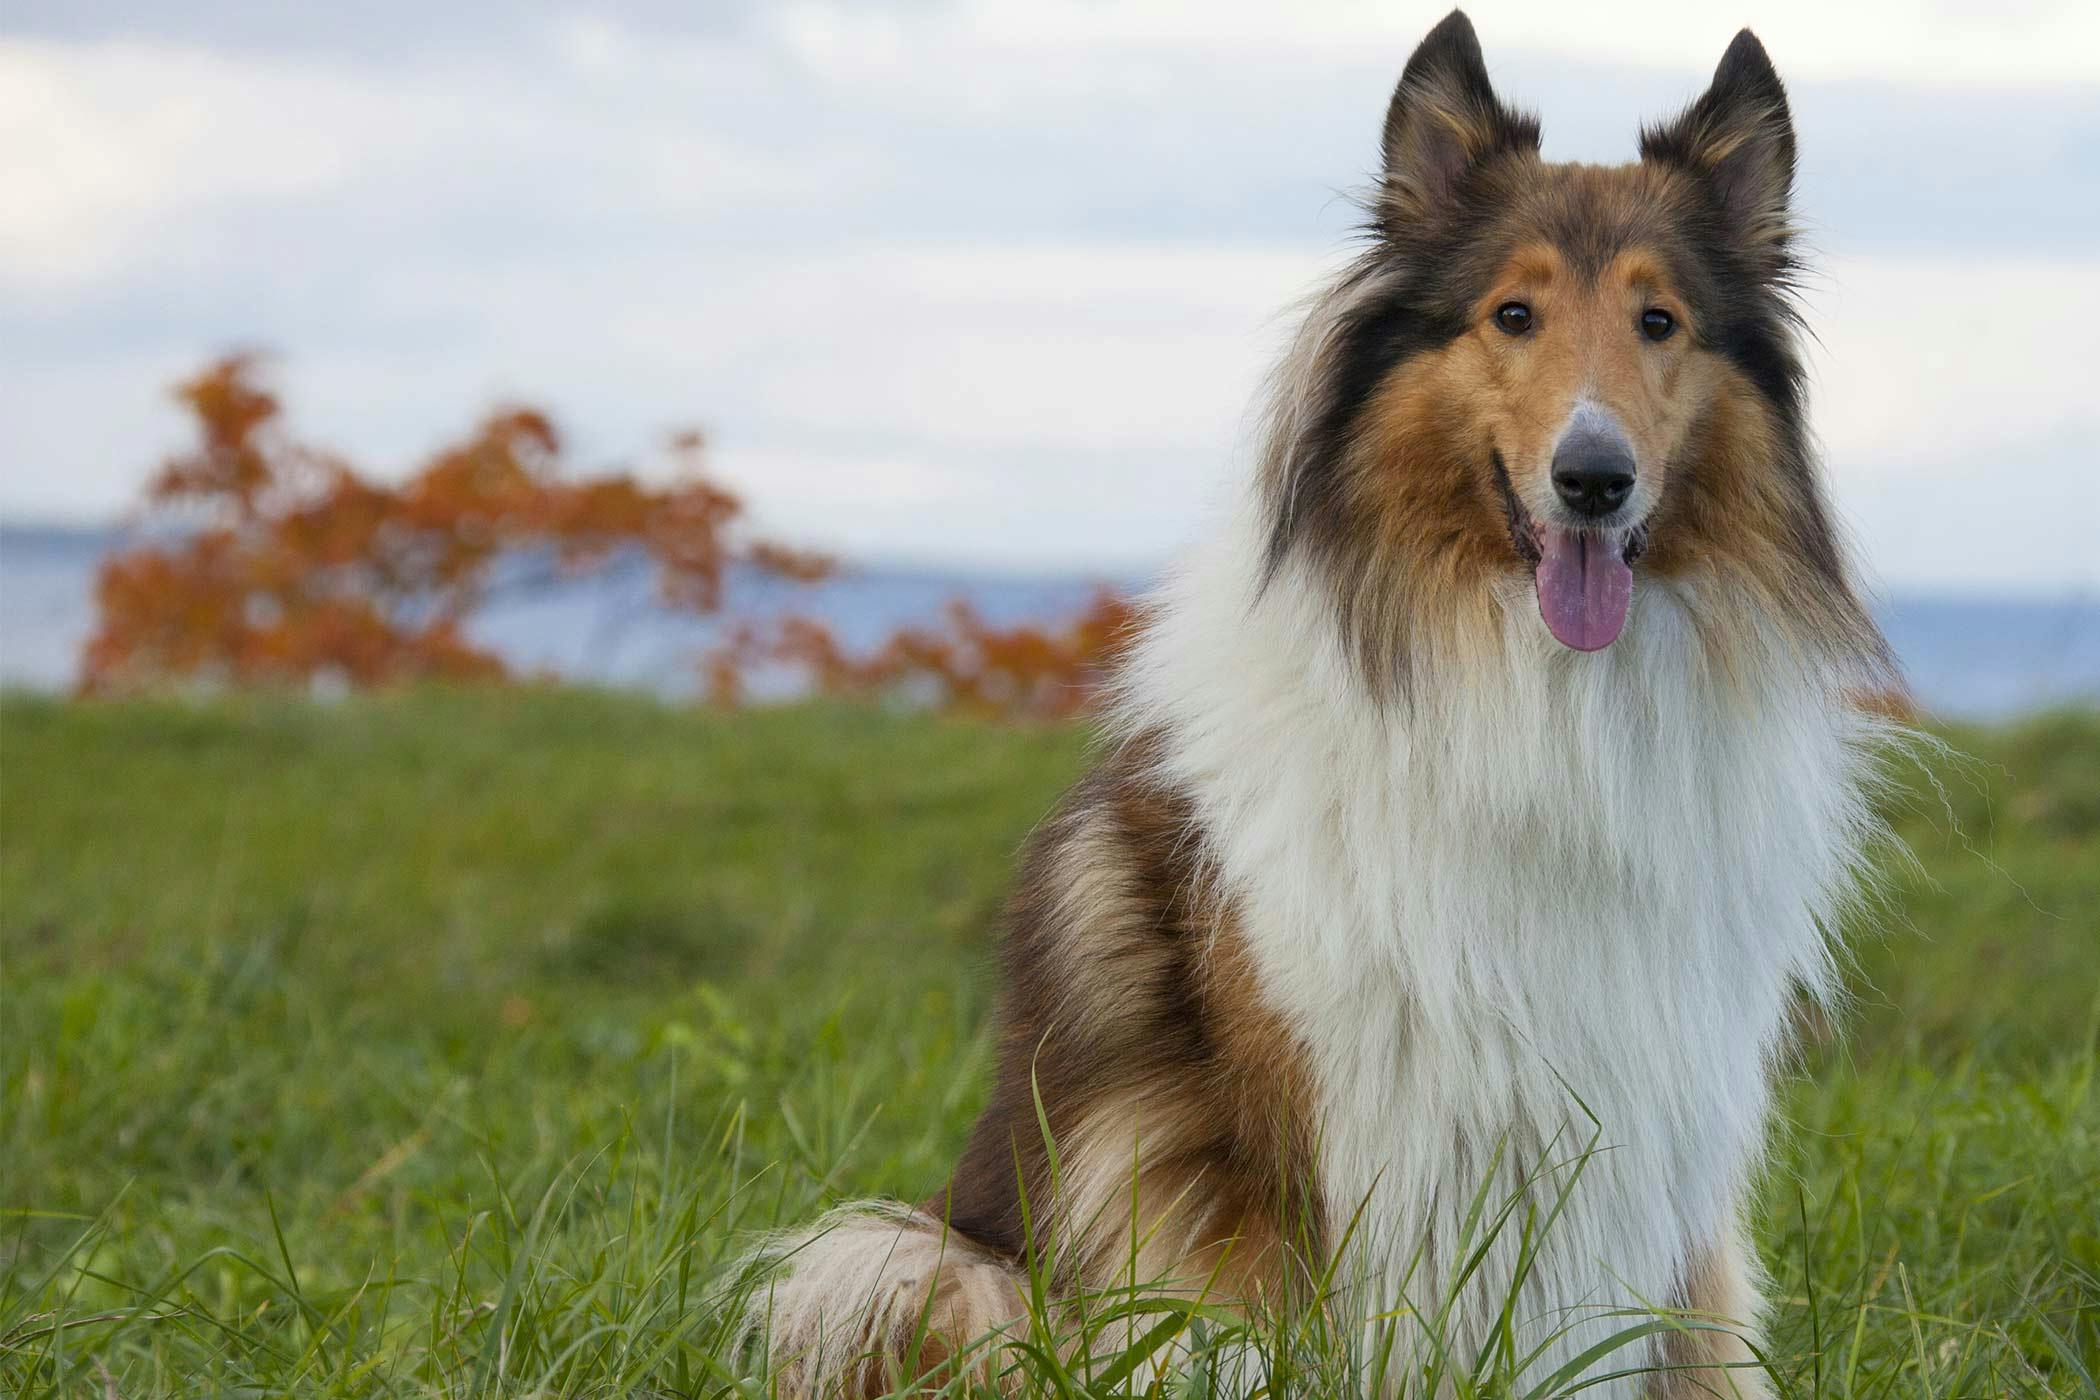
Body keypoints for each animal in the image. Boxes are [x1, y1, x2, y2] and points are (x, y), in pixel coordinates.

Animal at [747, 13, 1898, 1400]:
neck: (1533, 687)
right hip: (929, 1266)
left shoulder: (1658, 1137)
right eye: (1513, 314)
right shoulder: (1296, 1134)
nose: (1595, 478)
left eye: (1660, 320)